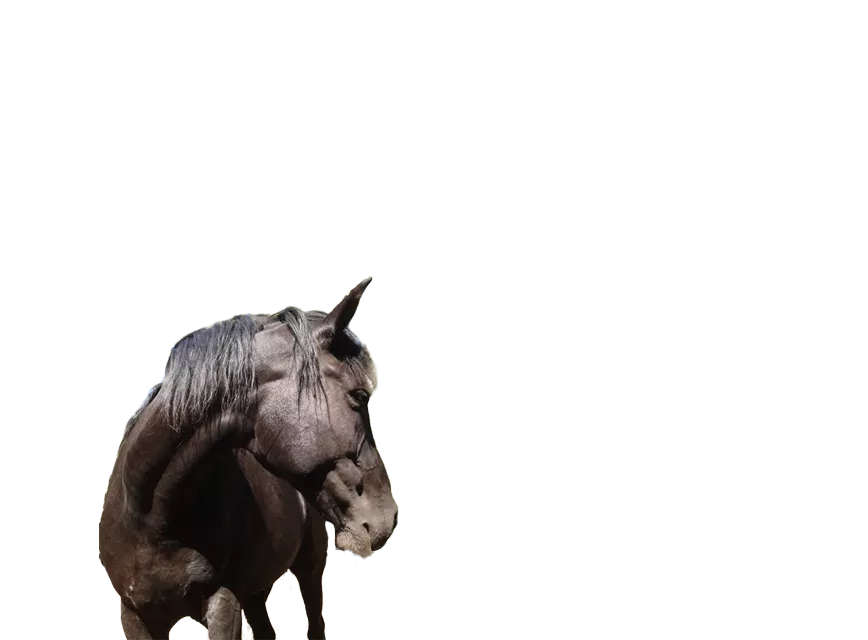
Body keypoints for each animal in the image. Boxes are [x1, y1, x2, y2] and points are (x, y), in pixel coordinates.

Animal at [98, 279, 398, 639]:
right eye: (359, 395)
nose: (387, 517)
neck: (150, 514)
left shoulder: (224, 604)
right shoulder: (135, 616)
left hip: (309, 570)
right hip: (255, 592)